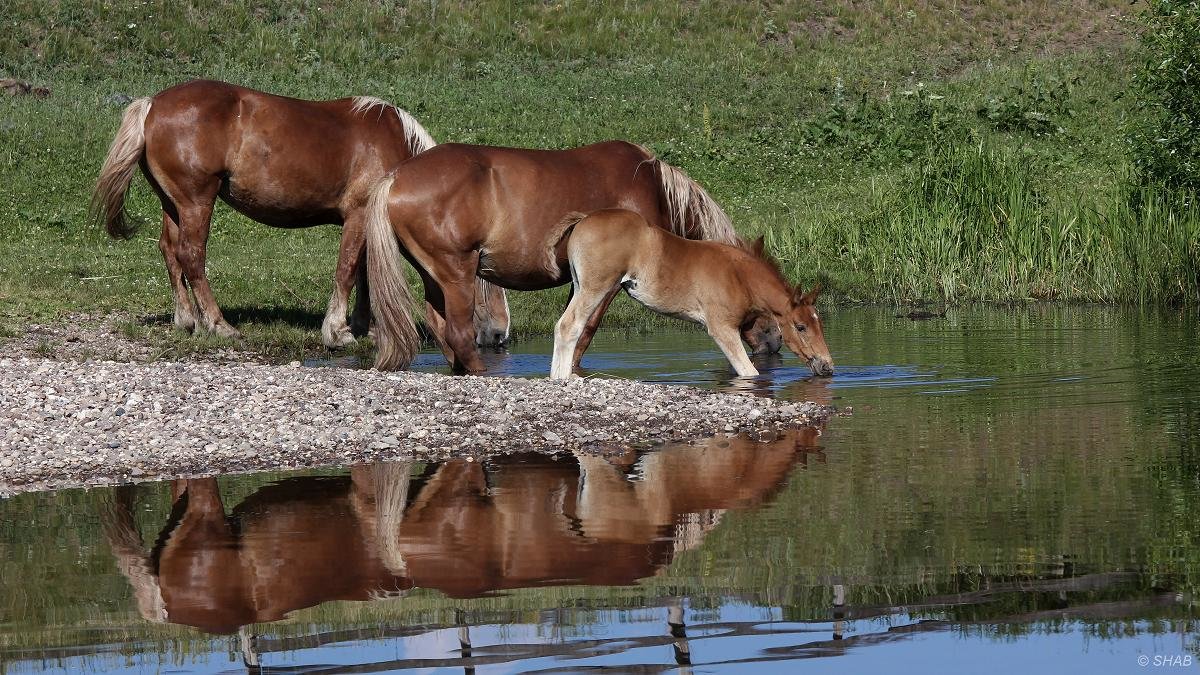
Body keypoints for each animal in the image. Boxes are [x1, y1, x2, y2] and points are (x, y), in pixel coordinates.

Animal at [90, 79, 511, 345]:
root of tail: (153, 105)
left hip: (173, 204)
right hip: (197, 202)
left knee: (170, 252)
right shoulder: (359, 216)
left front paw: (365, 327)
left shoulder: (366, 224)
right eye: (483, 275)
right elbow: (347, 270)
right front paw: (338, 330)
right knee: (191, 256)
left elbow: (364, 271)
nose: (500, 334)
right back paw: (219, 324)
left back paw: (187, 320)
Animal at [552, 208, 835, 374]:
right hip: (595, 287)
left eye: (820, 324)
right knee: (569, 326)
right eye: (801, 327)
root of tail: (582, 221)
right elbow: (749, 373)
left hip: (580, 286)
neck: (739, 276)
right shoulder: (722, 328)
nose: (828, 366)